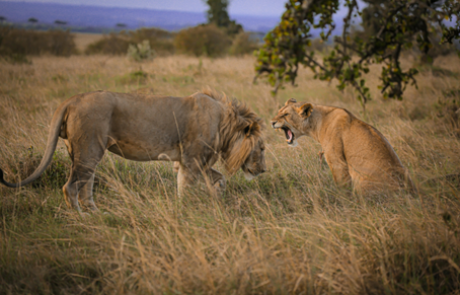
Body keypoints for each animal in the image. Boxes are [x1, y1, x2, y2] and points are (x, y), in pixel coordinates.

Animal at [0, 89, 266, 212]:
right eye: (262, 148)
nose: (263, 170)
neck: (224, 123)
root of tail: (72, 99)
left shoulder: (186, 162)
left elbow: (211, 180)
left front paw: (213, 201)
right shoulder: (192, 160)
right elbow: (192, 186)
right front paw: (187, 209)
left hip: (82, 153)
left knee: (85, 185)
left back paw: (96, 213)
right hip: (89, 149)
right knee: (70, 187)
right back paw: (82, 218)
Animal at [272, 98, 416, 193]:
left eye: (285, 115)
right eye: (278, 112)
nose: (271, 122)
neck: (317, 123)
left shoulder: (337, 162)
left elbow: (341, 186)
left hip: (361, 181)